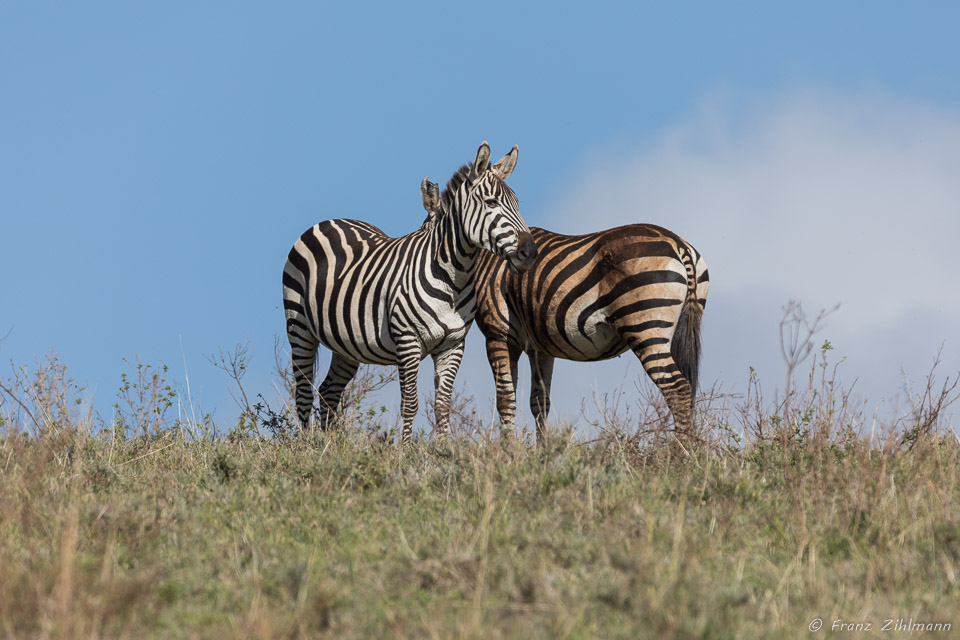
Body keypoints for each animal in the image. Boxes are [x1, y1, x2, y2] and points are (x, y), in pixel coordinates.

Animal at [422, 185, 712, 442]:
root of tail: (678, 244)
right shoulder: (540, 347)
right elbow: (539, 402)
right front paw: (541, 454)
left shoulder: (499, 334)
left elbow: (506, 399)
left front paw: (507, 452)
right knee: (686, 389)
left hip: (646, 326)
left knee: (678, 389)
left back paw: (678, 454)